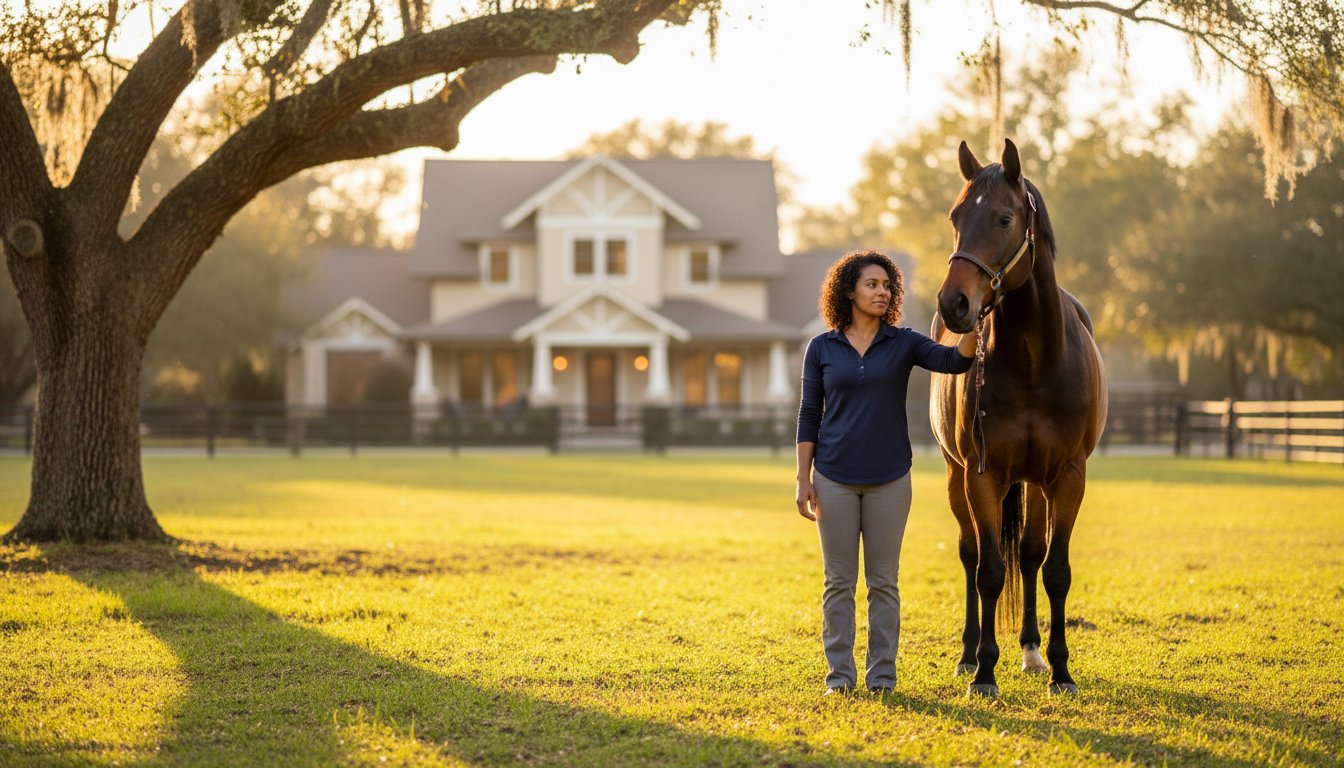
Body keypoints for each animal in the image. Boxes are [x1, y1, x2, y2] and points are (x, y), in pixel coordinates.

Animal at [929, 139, 1108, 698]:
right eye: (955, 216)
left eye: (1005, 218)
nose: (955, 302)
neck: (1034, 362)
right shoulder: (982, 476)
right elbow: (988, 571)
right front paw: (984, 671)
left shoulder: (1068, 477)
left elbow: (1054, 570)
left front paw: (1061, 669)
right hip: (957, 476)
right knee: (971, 554)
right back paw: (969, 654)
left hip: (1035, 482)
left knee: (1029, 555)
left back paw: (1031, 651)